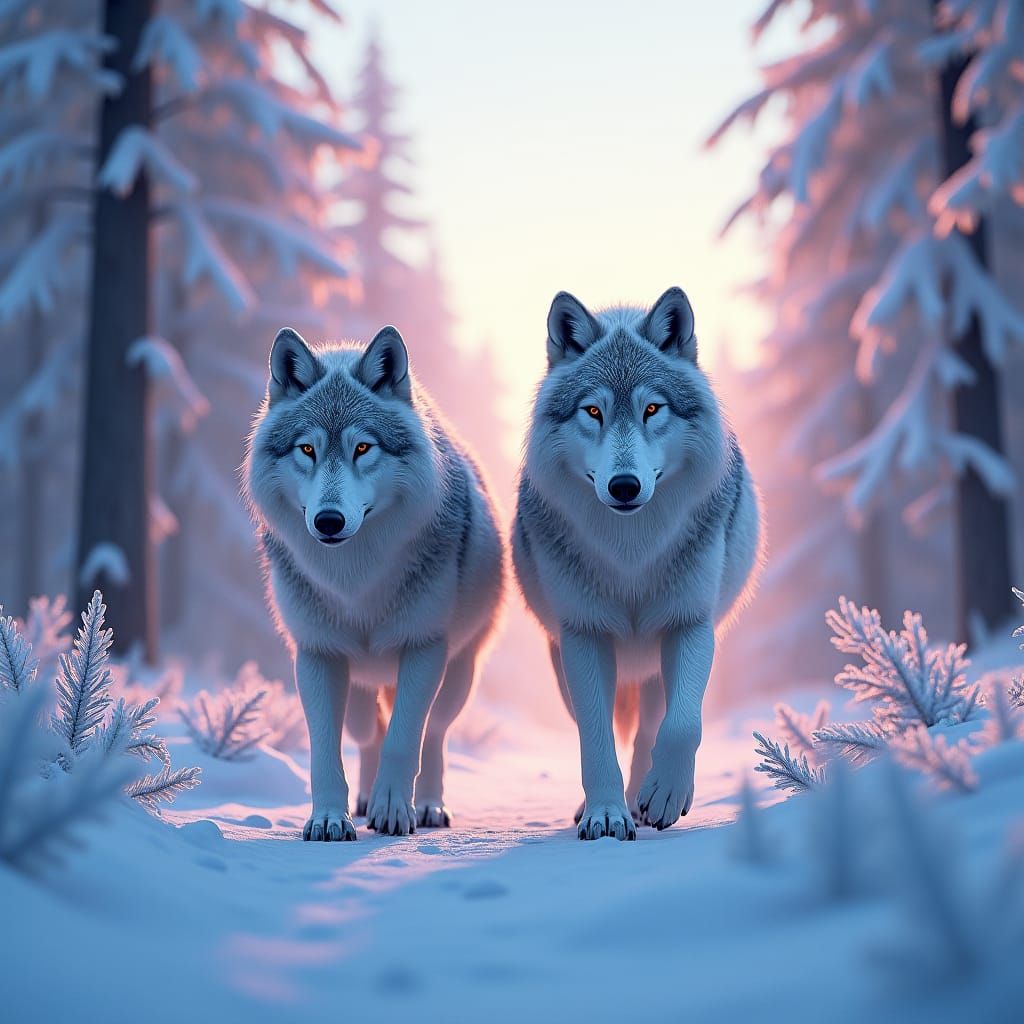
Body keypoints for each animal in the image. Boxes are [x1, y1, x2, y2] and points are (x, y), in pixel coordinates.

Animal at [244, 325, 504, 839]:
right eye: (308, 449)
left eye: (363, 448)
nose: (328, 521)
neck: (355, 580)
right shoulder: (317, 654)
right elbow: (325, 752)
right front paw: (329, 819)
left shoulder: (424, 648)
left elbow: (406, 739)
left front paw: (394, 811)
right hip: (361, 689)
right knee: (369, 736)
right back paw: (363, 801)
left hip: (457, 675)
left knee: (433, 735)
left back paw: (427, 806)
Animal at [513, 287, 762, 841]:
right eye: (593, 411)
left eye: (652, 408)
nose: (624, 486)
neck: (632, 552)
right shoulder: (583, 635)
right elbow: (595, 736)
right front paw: (605, 814)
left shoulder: (690, 624)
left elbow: (682, 725)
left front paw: (666, 794)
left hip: (654, 663)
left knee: (652, 725)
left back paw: (647, 799)